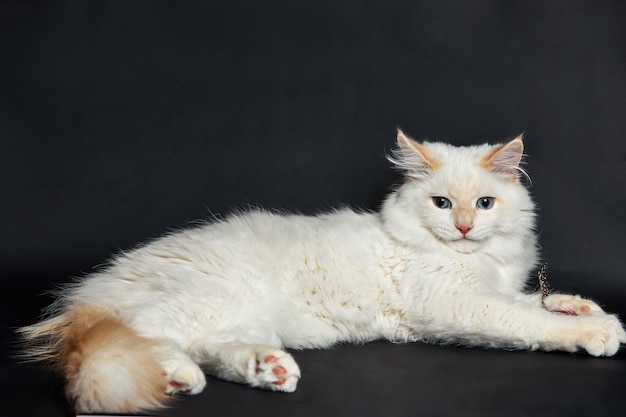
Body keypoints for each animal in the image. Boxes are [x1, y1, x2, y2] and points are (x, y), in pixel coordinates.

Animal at [19, 130, 624, 412]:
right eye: (442, 204)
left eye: (485, 204)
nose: (464, 228)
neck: (471, 258)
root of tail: (83, 299)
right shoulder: (454, 305)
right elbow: (528, 321)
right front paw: (596, 331)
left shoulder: (490, 289)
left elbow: (534, 301)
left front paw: (583, 307)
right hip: (202, 300)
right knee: (149, 338)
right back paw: (177, 377)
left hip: (242, 318)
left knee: (211, 351)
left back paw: (267, 370)